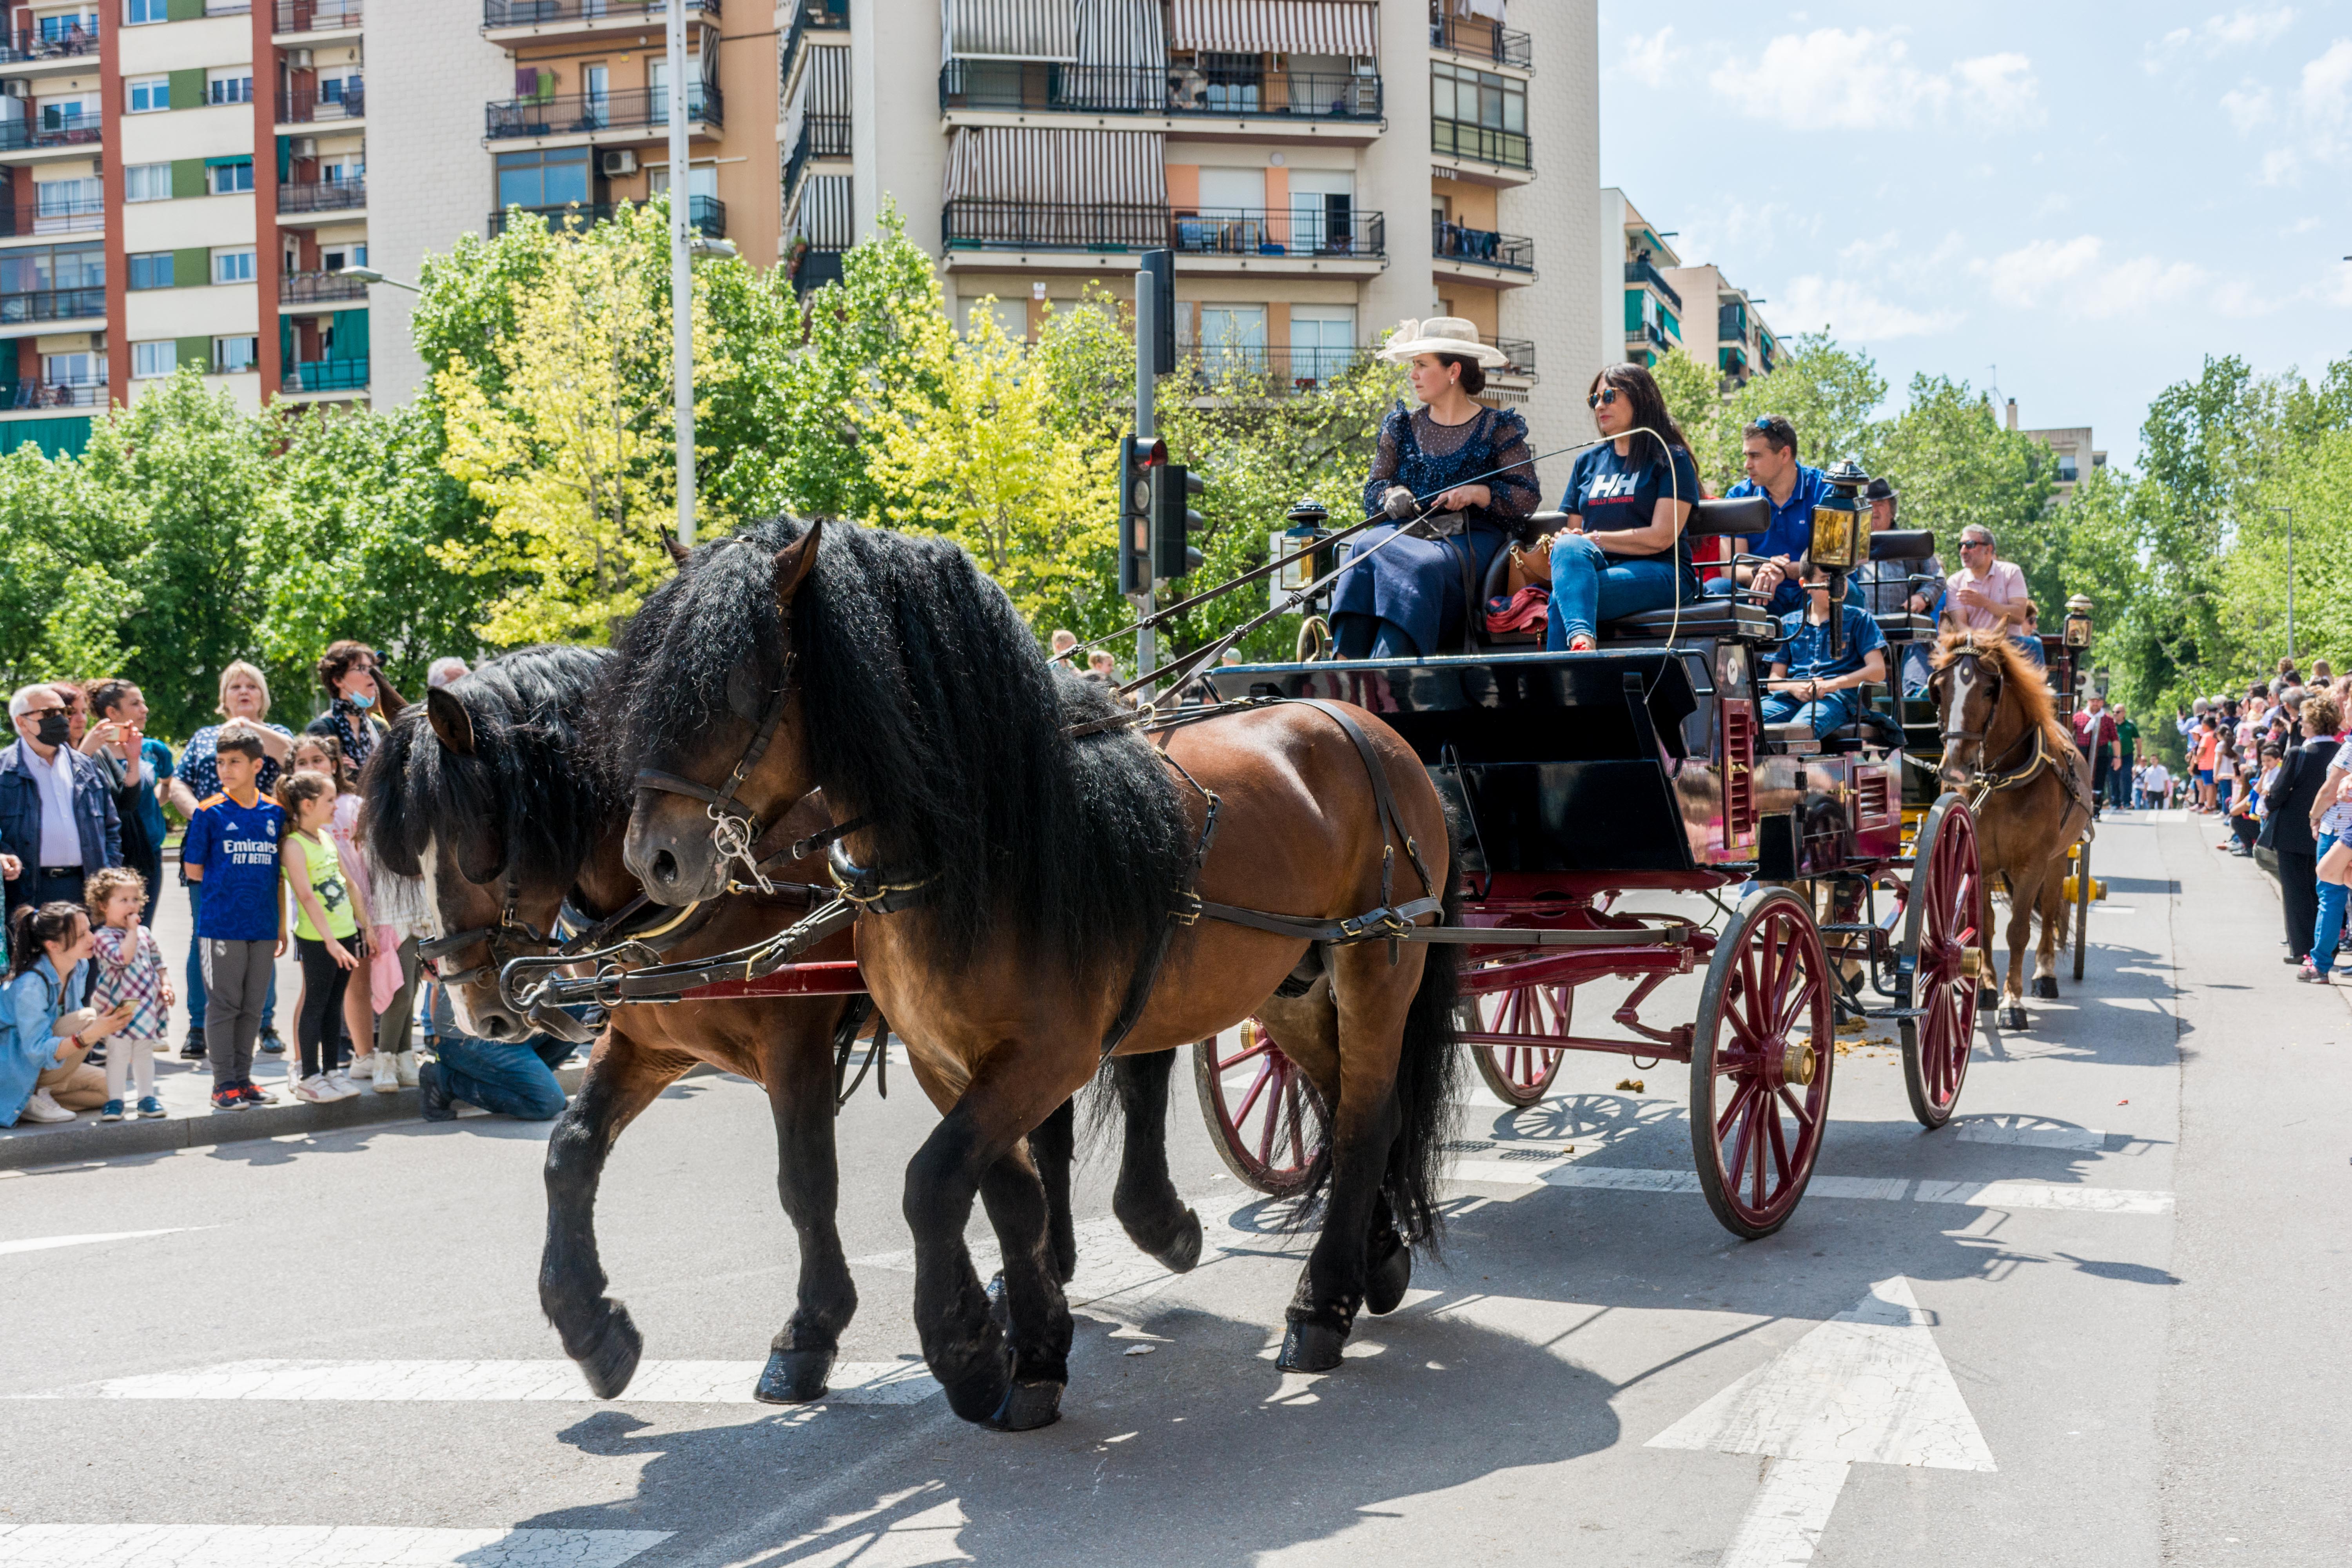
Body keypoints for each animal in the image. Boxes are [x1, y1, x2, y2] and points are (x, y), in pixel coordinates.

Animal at [367, 644, 1214, 1401]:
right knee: (1051, 1124)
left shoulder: (793, 1040)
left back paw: (1155, 1222)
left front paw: (810, 1332)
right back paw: (1050, 1262)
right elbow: (570, 1150)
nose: (477, 1006)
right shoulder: (650, 1040)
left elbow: (805, 1182)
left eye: (477, 839)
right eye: (409, 854)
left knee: (1142, 1064)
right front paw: (589, 1322)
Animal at [612, 517, 1449, 1439]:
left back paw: (1321, 1307)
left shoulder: (1048, 1058)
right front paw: (1036, 1351)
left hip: (1377, 964)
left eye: (735, 683)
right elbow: (1009, 1192)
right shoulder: (946, 1061)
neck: (984, 847)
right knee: (1353, 1108)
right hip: (1290, 987)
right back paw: (1377, 1259)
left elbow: (934, 1181)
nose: (651, 858)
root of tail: (1356, 719)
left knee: (1364, 1122)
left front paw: (968, 1353)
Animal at [1929, 630, 2098, 1029]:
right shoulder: (1980, 858)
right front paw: (1987, 988)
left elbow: (2019, 931)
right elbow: (1986, 926)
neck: (1998, 781)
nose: (1955, 768)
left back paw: (2045, 975)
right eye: (1939, 689)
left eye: (1991, 689)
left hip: (2057, 859)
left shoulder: (2032, 863)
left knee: (2051, 909)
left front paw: (2013, 1002)